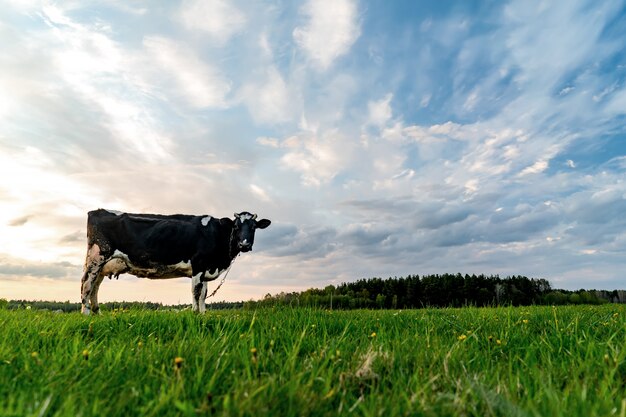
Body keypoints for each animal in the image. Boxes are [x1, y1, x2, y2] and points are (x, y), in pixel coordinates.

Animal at [79, 210, 270, 314]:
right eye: (236, 226)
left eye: (253, 227)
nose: (244, 244)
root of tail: (96, 211)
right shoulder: (198, 264)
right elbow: (196, 292)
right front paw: (195, 314)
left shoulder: (206, 268)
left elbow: (204, 294)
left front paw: (203, 314)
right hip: (97, 257)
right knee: (87, 284)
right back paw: (86, 314)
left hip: (102, 265)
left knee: (95, 286)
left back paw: (97, 313)